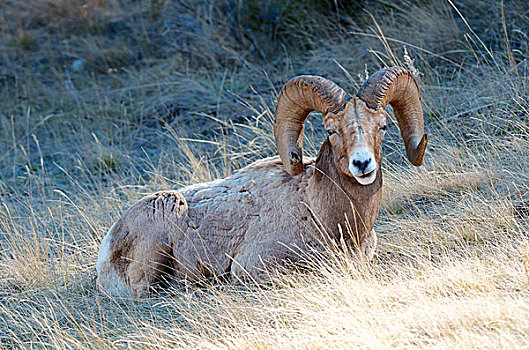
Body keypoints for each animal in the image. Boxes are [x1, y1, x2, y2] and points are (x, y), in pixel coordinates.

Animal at [97, 67, 428, 296]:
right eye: (331, 130)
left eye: (383, 126)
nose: (362, 164)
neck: (320, 212)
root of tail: (109, 242)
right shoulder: (255, 265)